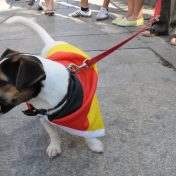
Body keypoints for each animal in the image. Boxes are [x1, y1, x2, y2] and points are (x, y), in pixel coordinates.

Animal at [0, 17, 104, 159]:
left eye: (2, 82)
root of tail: (53, 42)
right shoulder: (43, 116)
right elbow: (52, 133)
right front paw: (54, 146)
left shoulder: (86, 114)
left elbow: (89, 133)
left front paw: (94, 144)